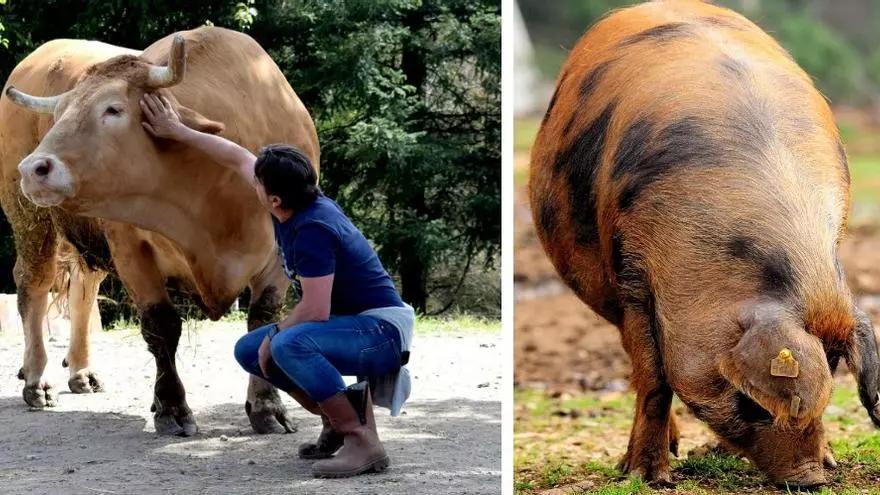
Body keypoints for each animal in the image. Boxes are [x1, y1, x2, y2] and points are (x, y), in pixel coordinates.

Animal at [2, 27, 320, 438]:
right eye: (57, 115)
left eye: (113, 109)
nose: (33, 168)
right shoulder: (131, 249)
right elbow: (161, 326)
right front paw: (171, 407)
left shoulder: (279, 254)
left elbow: (262, 320)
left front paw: (267, 406)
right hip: (31, 220)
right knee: (34, 285)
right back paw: (36, 379)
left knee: (83, 290)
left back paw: (82, 371)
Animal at [528, 0, 880, 488]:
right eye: (751, 401)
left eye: (835, 367)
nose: (810, 479)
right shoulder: (634, 276)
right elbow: (654, 379)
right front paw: (649, 478)